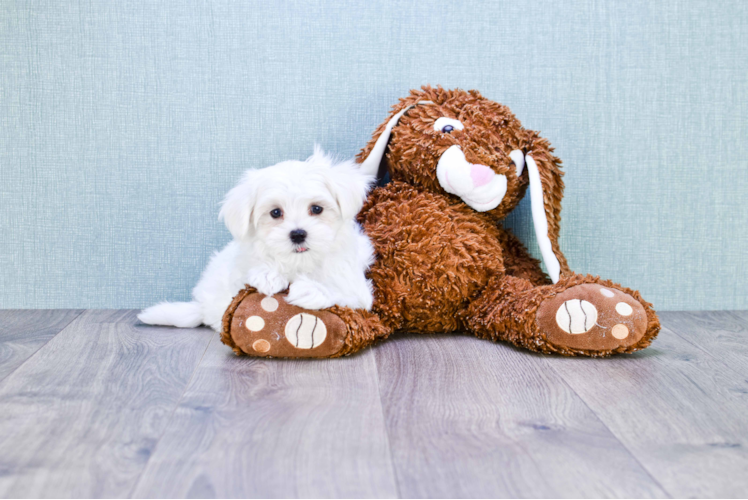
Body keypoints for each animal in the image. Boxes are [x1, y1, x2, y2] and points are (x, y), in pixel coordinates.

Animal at [138, 146, 376, 332]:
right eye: (275, 213)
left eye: (316, 208)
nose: (298, 234)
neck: (299, 262)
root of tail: (202, 307)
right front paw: (268, 274)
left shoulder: (359, 290)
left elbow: (345, 293)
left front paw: (311, 289)